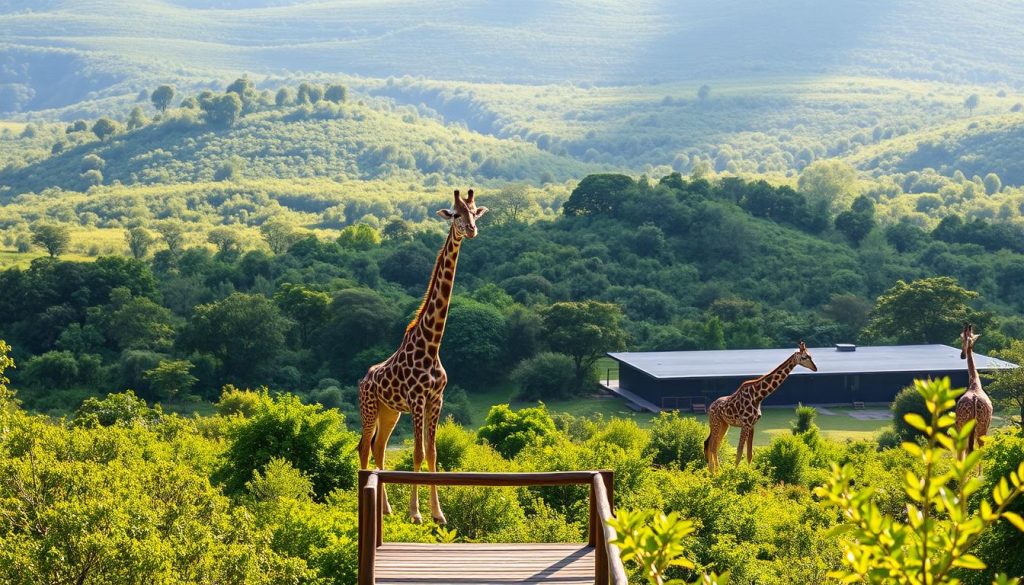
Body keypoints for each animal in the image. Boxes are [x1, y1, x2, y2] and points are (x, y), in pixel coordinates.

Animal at [357, 189, 487, 524]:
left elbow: (433, 453)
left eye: (474, 213)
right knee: (363, 447)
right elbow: (417, 452)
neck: (431, 344)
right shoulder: (417, 399)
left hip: (390, 412)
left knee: (378, 448)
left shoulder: (436, 399)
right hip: (370, 407)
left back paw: (387, 508)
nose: (471, 230)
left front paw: (437, 514)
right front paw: (416, 513)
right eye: (455, 215)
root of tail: (363, 379)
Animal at [704, 341, 818, 473]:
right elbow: (739, 452)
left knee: (714, 444)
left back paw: (716, 471)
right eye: (804, 357)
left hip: (724, 424)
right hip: (716, 422)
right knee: (711, 445)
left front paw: (748, 474)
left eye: (811, 356)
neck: (758, 396)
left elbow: (749, 454)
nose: (815, 368)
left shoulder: (752, 425)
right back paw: (714, 473)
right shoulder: (745, 424)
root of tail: (710, 407)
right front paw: (734, 474)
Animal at [955, 323, 993, 461]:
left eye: (961, 337)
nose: (962, 355)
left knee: (966, 450)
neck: (975, 384)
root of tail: (975, 400)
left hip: (965, 427)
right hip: (983, 427)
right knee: (980, 449)